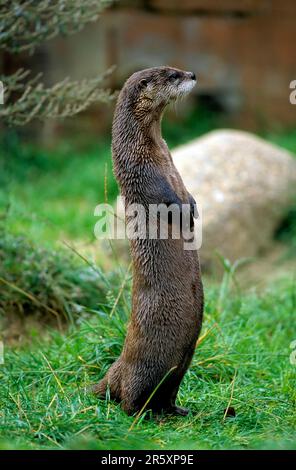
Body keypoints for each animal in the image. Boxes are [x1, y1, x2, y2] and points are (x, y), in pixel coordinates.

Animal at [94, 66, 204, 414]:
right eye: (172, 76)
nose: (192, 73)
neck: (154, 150)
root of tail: (114, 369)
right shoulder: (144, 173)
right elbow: (165, 199)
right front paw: (184, 213)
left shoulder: (172, 165)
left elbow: (186, 190)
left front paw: (194, 207)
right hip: (147, 363)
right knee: (130, 398)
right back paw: (143, 414)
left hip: (182, 362)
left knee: (167, 391)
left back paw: (177, 410)